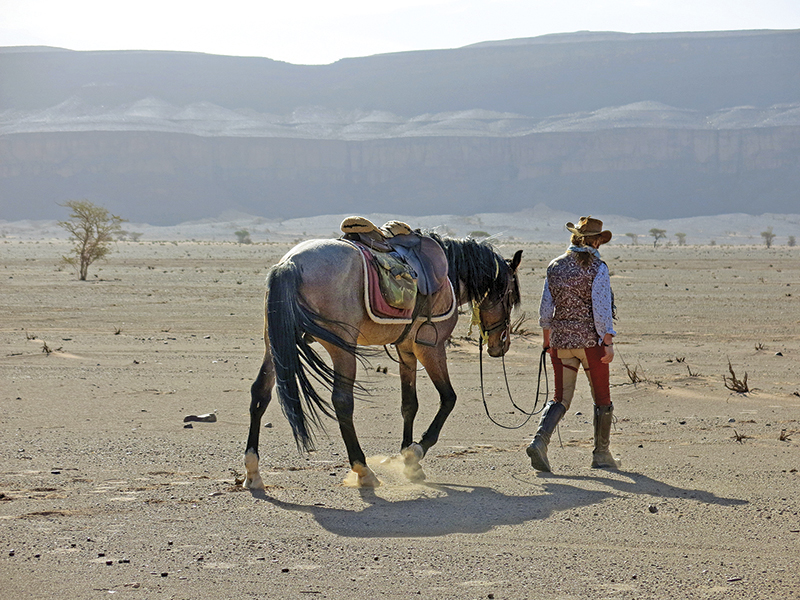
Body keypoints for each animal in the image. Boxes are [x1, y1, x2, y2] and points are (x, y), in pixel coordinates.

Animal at [244, 232, 523, 488]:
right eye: (509, 295)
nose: (502, 344)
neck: (449, 274)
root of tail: (290, 264)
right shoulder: (430, 348)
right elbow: (448, 398)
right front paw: (415, 452)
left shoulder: (406, 350)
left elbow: (409, 404)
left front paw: (408, 460)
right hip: (341, 349)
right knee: (342, 401)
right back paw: (363, 470)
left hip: (275, 345)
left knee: (260, 393)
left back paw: (252, 471)